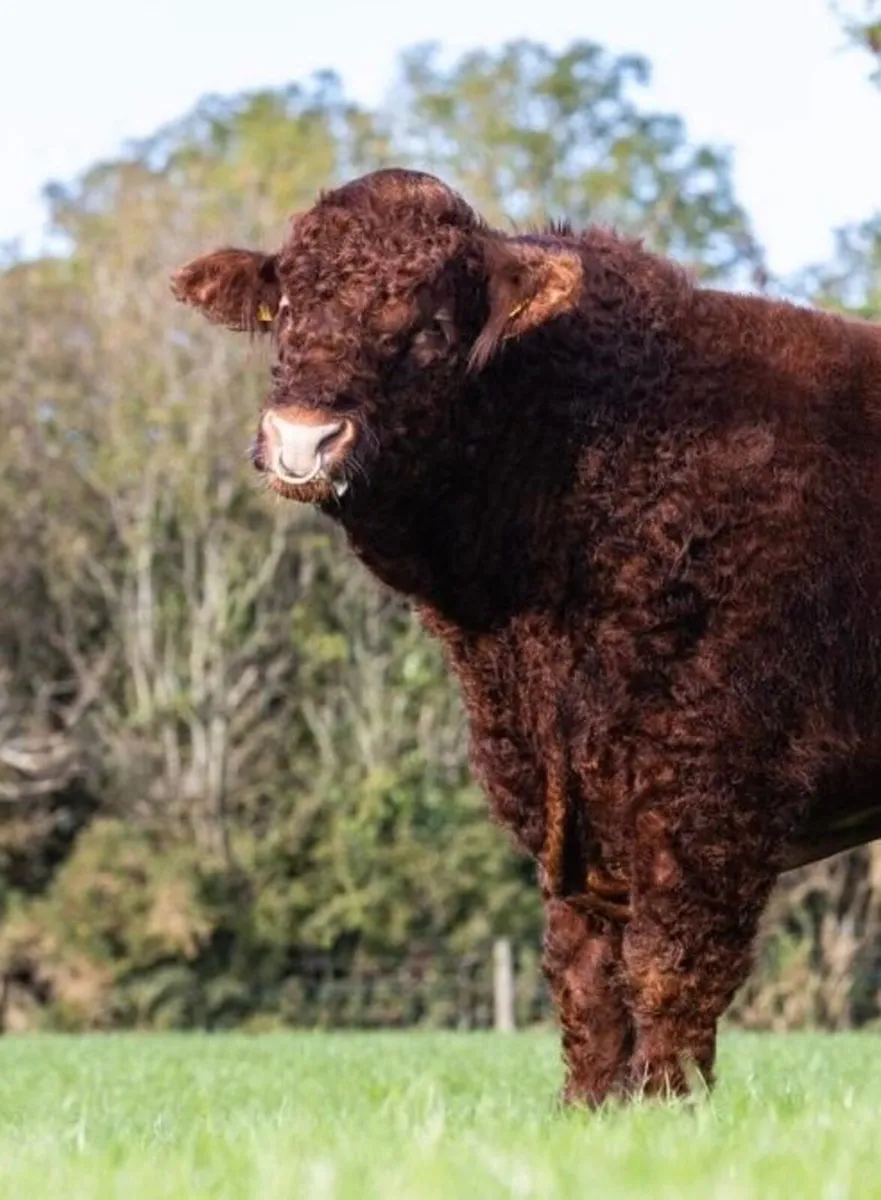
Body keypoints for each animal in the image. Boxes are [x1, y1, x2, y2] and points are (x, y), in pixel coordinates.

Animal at [171, 167, 881, 1105]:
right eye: (285, 304)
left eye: (431, 324)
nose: (302, 438)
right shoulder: (567, 800)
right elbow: (584, 982)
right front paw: (590, 1111)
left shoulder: (708, 780)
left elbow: (671, 968)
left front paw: (669, 1107)